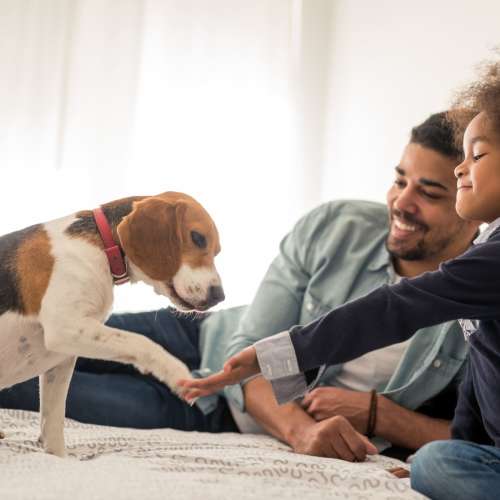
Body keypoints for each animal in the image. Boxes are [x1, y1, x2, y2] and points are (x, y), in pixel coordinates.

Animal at [0, 191, 225, 458]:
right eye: (197, 238)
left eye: (216, 251)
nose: (219, 296)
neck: (102, 247)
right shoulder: (65, 328)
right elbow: (141, 341)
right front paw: (175, 372)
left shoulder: (62, 359)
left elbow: (53, 423)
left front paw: (59, 458)